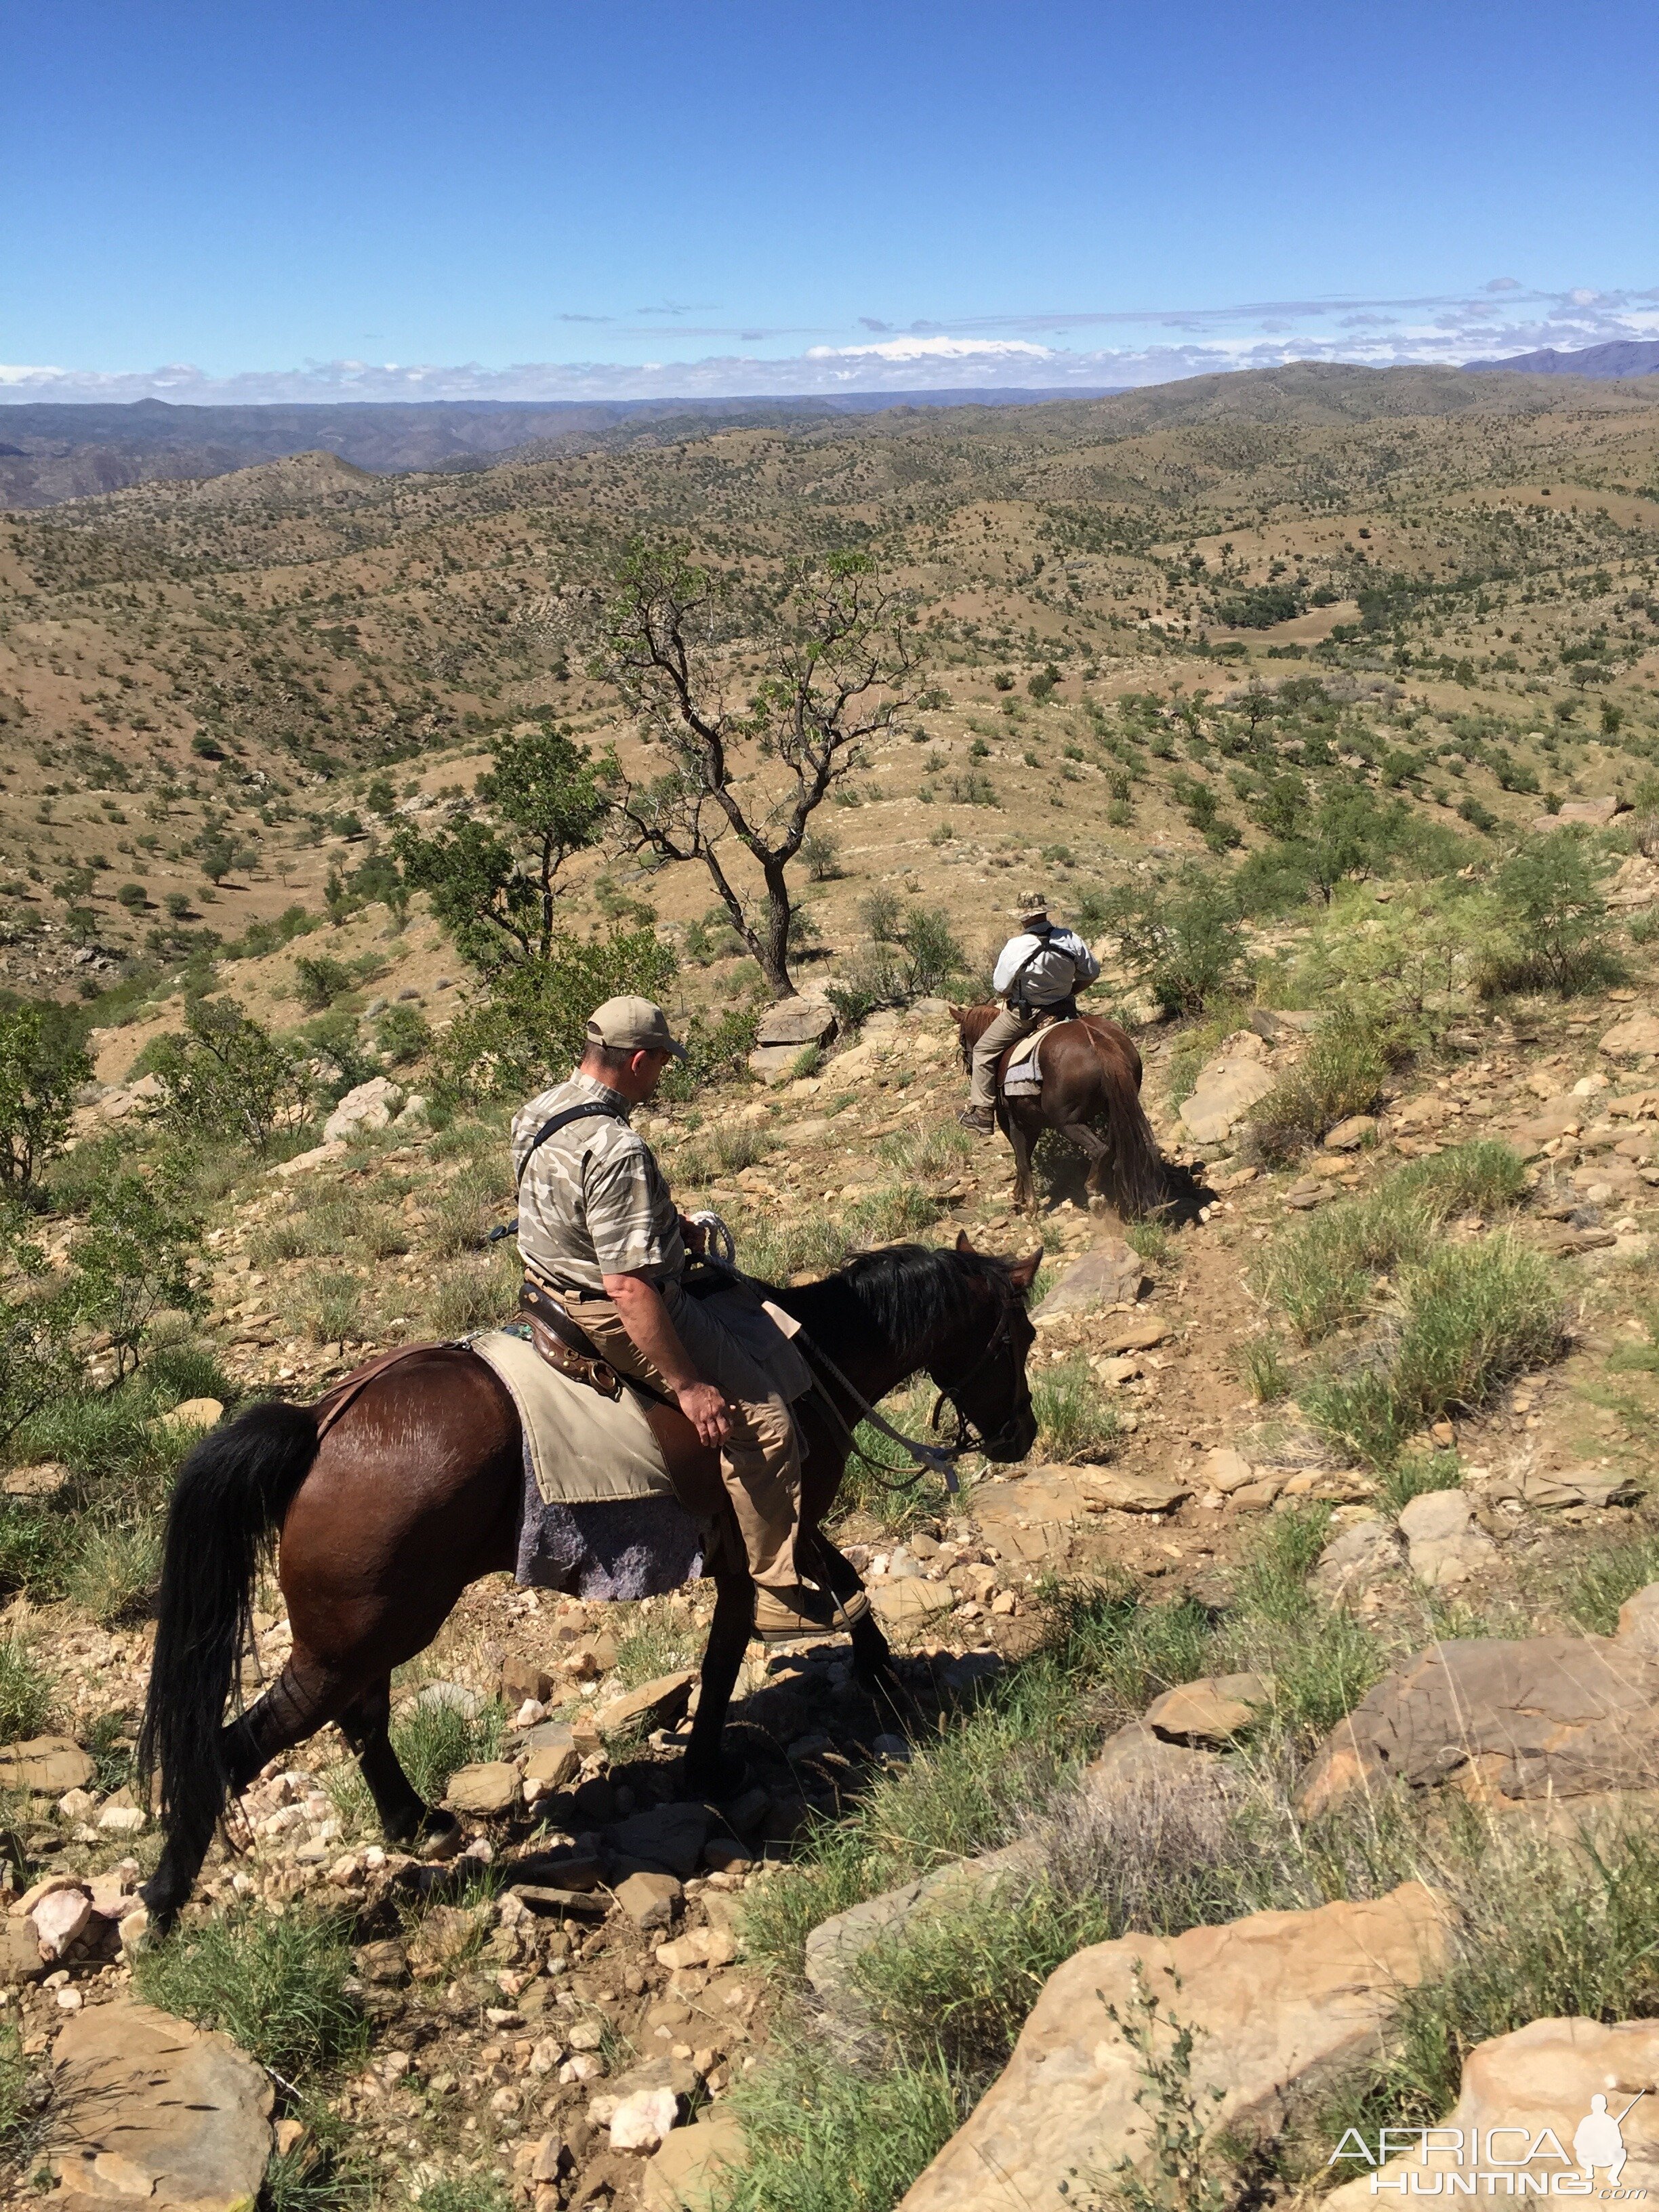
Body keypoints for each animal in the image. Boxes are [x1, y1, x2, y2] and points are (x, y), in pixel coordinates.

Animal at [136, 1238, 1040, 1929]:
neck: (806, 1355)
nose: (1019, 1436)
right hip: (352, 1639)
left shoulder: (777, 1531)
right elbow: (736, 1644)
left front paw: (877, 1671)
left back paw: (416, 1823)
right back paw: (164, 1901)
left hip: (370, 1631)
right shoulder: (764, 1529)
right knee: (234, 1749)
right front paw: (715, 1767)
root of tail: (319, 1425)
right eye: (1018, 1339)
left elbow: (825, 1588)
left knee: (362, 1718)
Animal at [946, 1008, 1168, 1221]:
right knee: (1118, 1147)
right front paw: (1019, 1196)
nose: (968, 1066)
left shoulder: (1013, 1121)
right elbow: (1024, 1156)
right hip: (1115, 1111)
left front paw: (1029, 1207)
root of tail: (1096, 1039)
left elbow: (1022, 1160)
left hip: (1066, 1122)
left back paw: (1094, 1193)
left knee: (1100, 1150)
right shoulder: (1033, 1124)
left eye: (962, 1038)